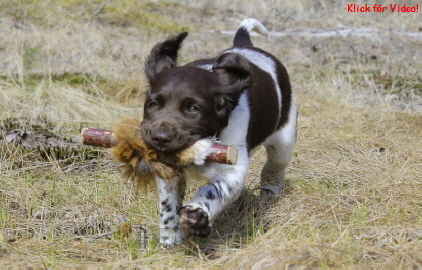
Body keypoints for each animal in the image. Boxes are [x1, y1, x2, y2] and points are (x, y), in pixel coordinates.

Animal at [140, 17, 296, 247]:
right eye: (153, 104)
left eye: (193, 108)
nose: (159, 138)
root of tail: (245, 45)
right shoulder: (168, 170)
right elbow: (168, 203)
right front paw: (169, 239)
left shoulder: (233, 169)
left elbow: (212, 191)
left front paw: (196, 213)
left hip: (283, 140)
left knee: (274, 169)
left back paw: (269, 194)